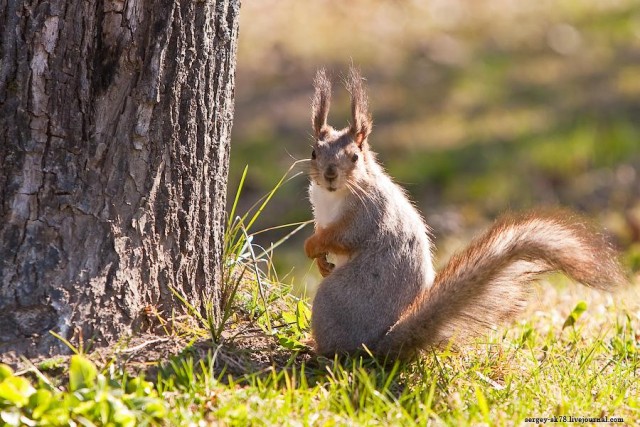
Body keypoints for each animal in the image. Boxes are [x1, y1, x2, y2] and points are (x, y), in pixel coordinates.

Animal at [304, 67, 624, 362]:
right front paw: (319, 258)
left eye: (355, 157)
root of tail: (379, 347)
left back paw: (317, 348)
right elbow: (322, 230)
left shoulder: (367, 214)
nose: (330, 175)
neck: (333, 196)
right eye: (313, 153)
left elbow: (344, 236)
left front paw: (313, 245)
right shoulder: (320, 210)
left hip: (332, 301)